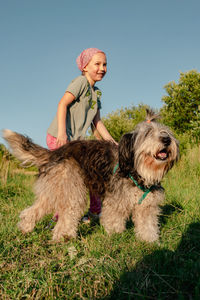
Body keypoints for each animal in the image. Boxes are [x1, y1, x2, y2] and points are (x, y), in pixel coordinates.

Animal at [2, 111, 178, 243]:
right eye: (148, 133)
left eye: (166, 132)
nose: (167, 139)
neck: (136, 170)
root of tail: (55, 153)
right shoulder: (115, 201)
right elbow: (113, 220)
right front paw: (115, 236)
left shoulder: (147, 206)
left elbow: (147, 225)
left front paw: (150, 241)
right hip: (71, 190)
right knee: (67, 216)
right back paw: (63, 237)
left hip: (53, 191)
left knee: (32, 210)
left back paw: (25, 228)